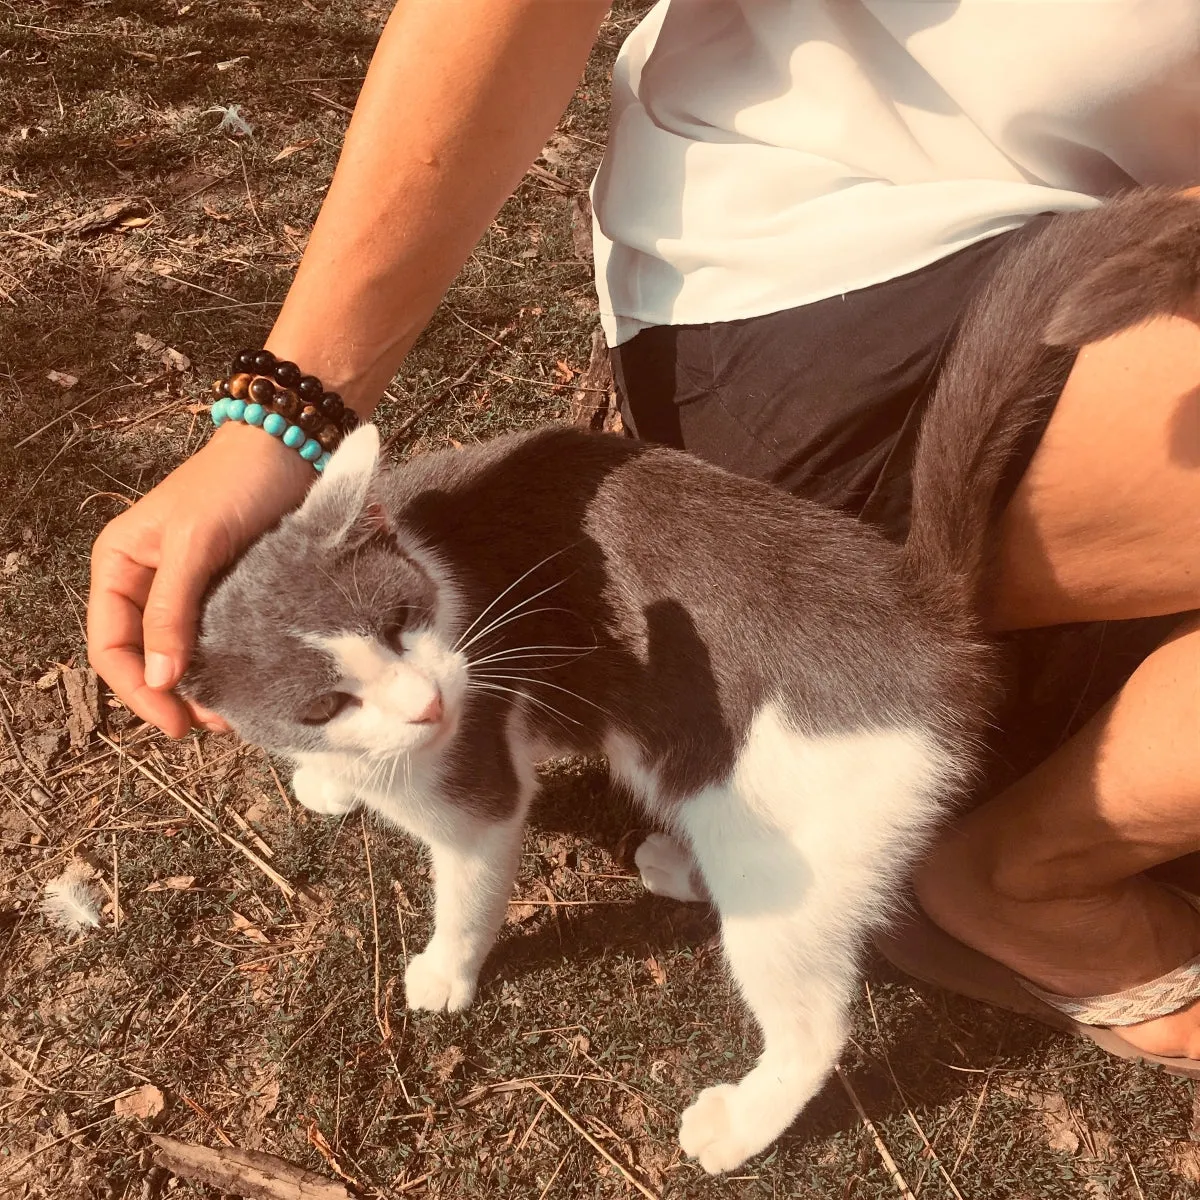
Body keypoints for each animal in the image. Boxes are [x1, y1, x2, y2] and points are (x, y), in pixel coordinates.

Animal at [184, 192, 1200, 1176]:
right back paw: (680, 864)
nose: (430, 704)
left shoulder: (477, 791)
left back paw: (740, 1122)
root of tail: (918, 601)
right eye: (326, 703)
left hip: (790, 847)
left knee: (815, 1019)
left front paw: (446, 971)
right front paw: (324, 781)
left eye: (402, 622)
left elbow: (469, 887)